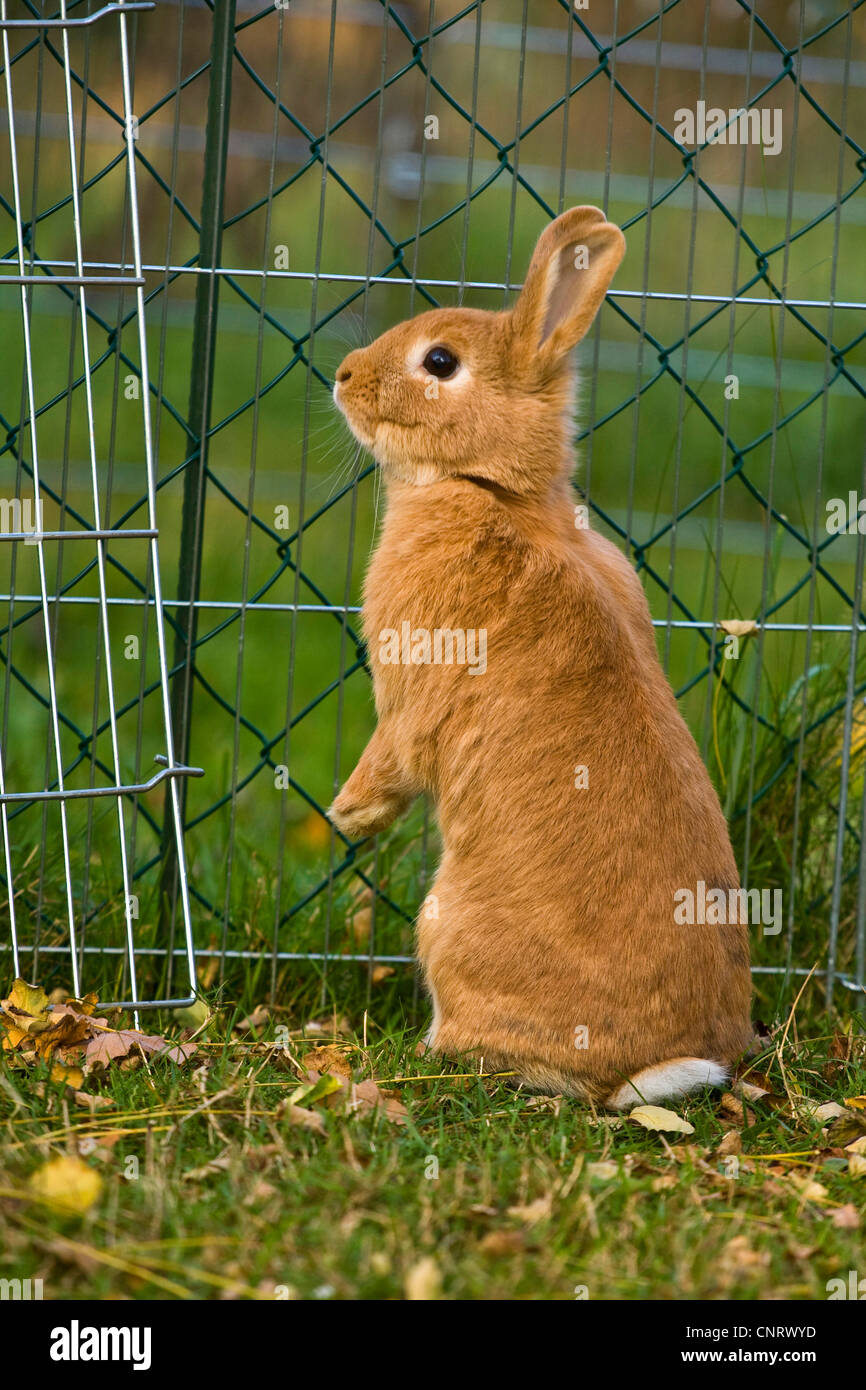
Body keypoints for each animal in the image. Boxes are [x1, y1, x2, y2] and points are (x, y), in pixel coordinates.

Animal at [325, 205, 750, 1106]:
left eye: (439, 362)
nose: (343, 376)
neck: (491, 488)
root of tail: (650, 1070)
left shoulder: (411, 686)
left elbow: (394, 753)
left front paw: (348, 815)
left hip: (444, 926)